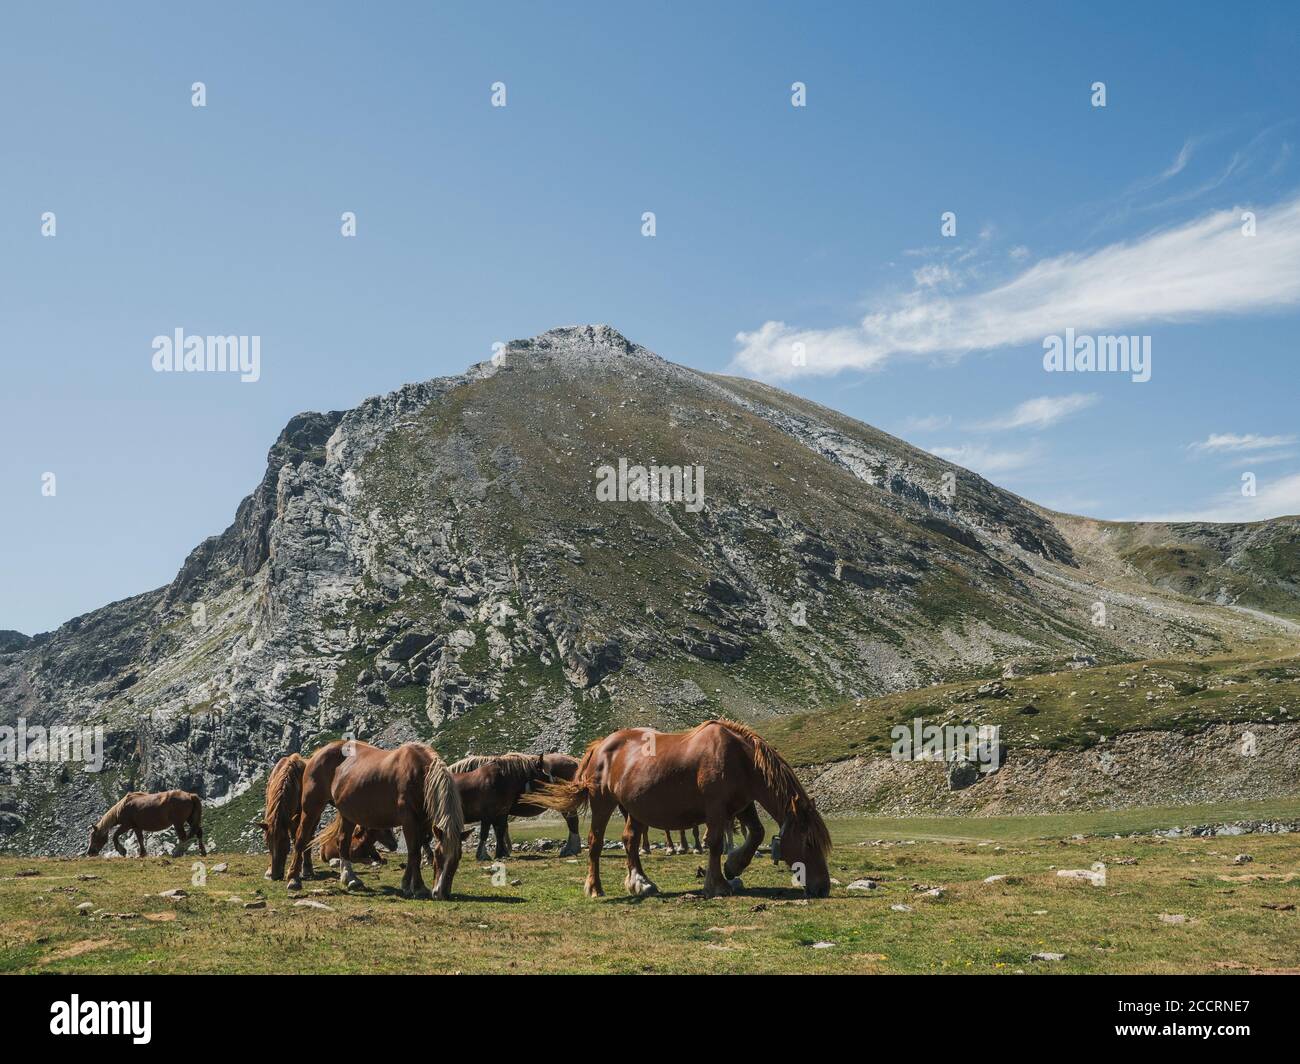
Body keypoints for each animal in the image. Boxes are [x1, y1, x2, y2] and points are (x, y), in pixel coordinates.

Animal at [286, 738, 467, 894]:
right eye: (439, 855)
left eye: (458, 857)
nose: (442, 893)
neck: (419, 773)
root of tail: (318, 753)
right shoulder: (409, 820)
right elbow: (414, 851)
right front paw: (417, 886)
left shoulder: (423, 822)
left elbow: (415, 852)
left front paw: (410, 885)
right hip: (312, 808)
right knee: (301, 838)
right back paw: (294, 879)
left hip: (347, 814)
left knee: (342, 841)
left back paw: (350, 879)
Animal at [530, 723, 826, 894]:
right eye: (808, 842)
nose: (822, 887)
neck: (740, 758)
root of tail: (600, 746)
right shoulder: (716, 809)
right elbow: (715, 843)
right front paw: (717, 884)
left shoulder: (742, 805)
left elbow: (756, 833)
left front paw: (733, 867)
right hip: (603, 802)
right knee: (595, 842)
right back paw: (594, 888)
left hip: (635, 809)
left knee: (630, 840)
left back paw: (641, 883)